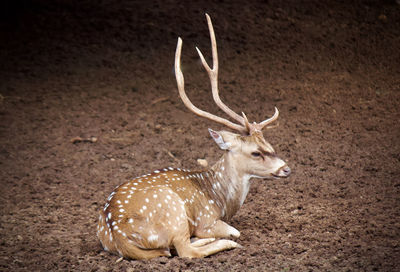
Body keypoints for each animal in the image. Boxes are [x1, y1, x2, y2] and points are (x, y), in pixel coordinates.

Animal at [97, 13, 290, 260]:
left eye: (269, 144)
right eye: (256, 152)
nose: (286, 169)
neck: (220, 200)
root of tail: (117, 234)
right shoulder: (207, 219)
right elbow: (233, 231)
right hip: (173, 211)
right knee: (184, 250)